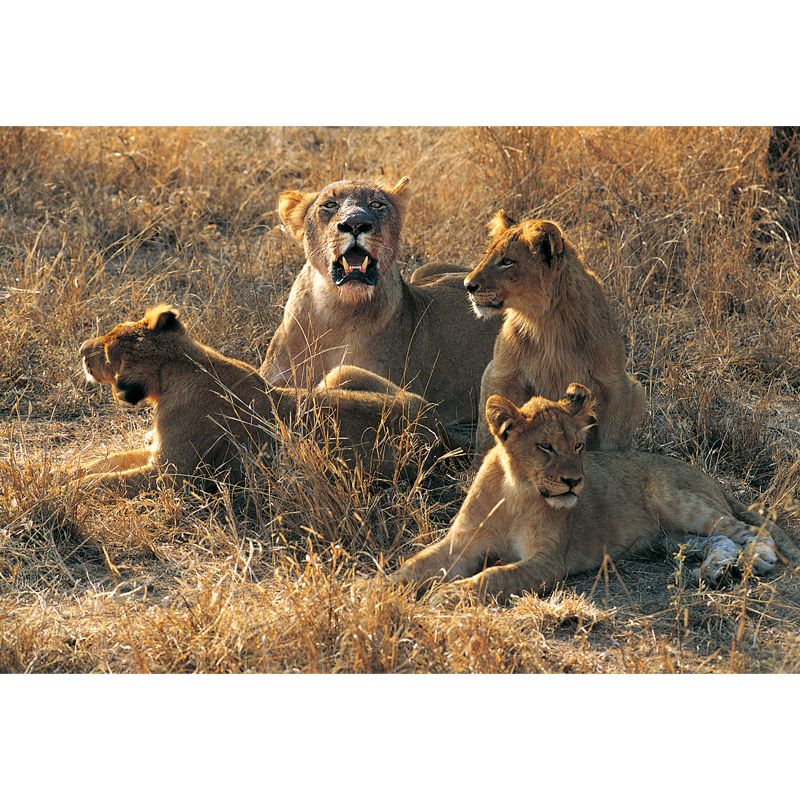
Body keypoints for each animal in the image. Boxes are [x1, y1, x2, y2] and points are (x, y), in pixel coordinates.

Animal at [76, 304, 449, 496]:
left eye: (105, 351)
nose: (81, 349)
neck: (181, 366)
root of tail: (437, 426)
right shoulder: (157, 455)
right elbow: (104, 462)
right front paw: (68, 471)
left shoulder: (172, 475)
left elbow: (105, 482)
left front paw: (71, 490)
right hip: (340, 374)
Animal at [392, 384, 797, 601]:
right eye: (545, 447)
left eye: (578, 446)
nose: (574, 482)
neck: (515, 492)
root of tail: (708, 477)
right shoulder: (462, 543)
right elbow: (416, 564)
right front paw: (382, 589)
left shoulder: (548, 562)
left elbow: (493, 576)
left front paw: (446, 595)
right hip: (668, 536)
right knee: (716, 540)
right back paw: (716, 569)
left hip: (679, 502)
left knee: (749, 530)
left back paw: (757, 559)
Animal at [465, 212, 646, 457]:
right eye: (487, 254)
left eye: (507, 261)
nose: (467, 285)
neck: (545, 322)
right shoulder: (499, 375)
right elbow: (486, 435)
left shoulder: (615, 385)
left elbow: (613, 443)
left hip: (637, 390)